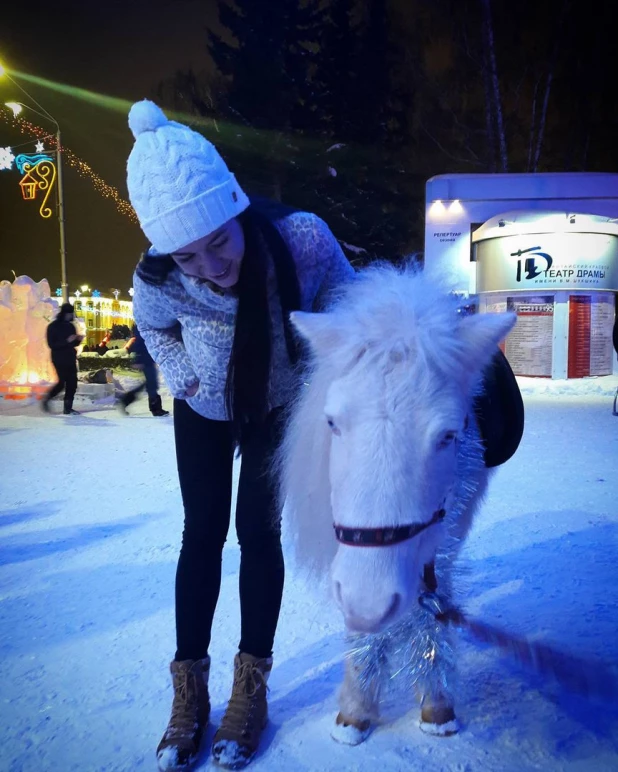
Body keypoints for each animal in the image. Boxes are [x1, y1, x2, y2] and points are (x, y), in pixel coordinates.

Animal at [278, 264, 516, 740]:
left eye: (448, 435)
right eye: (332, 422)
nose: (368, 601)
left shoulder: (447, 526)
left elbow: (431, 600)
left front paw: (436, 699)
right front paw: (356, 704)